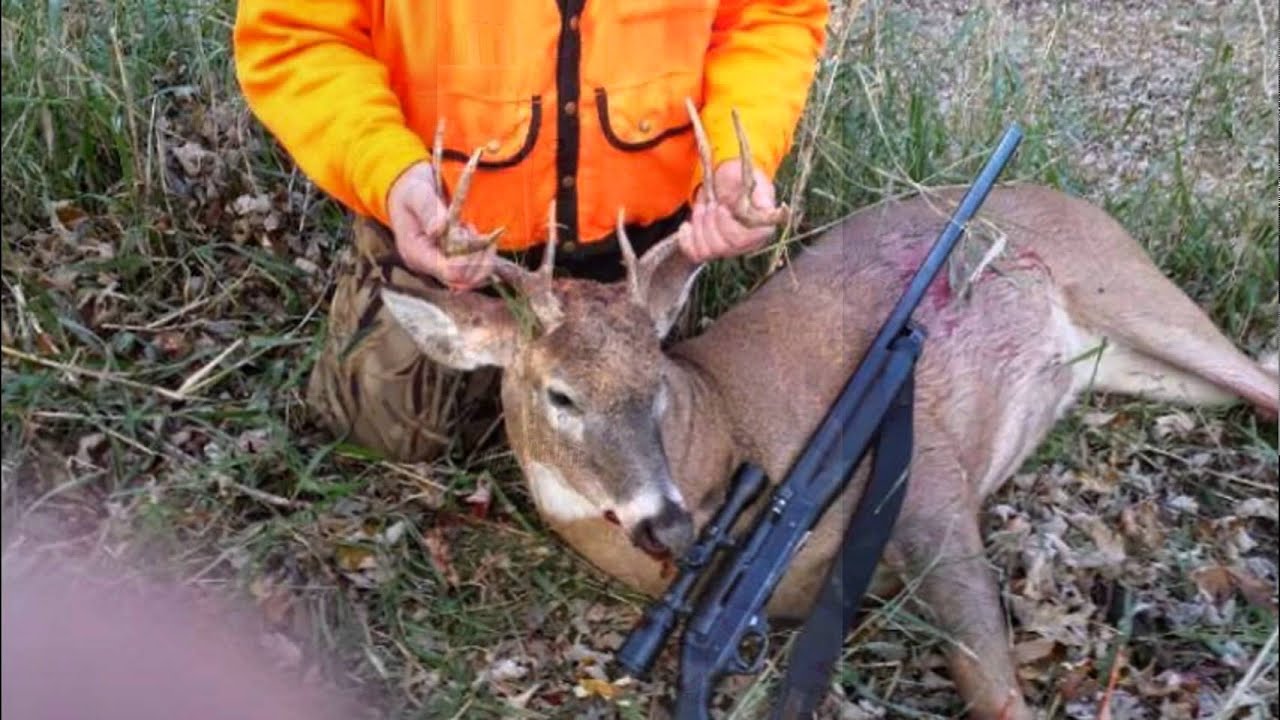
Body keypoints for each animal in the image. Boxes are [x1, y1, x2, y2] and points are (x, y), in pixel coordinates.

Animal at [375, 103, 1280, 719]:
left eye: (656, 376)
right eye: (559, 393)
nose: (667, 521)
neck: (725, 429)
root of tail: (1067, 193)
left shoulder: (930, 481)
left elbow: (993, 689)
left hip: (1129, 289)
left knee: (1261, 379)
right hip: (1121, 364)